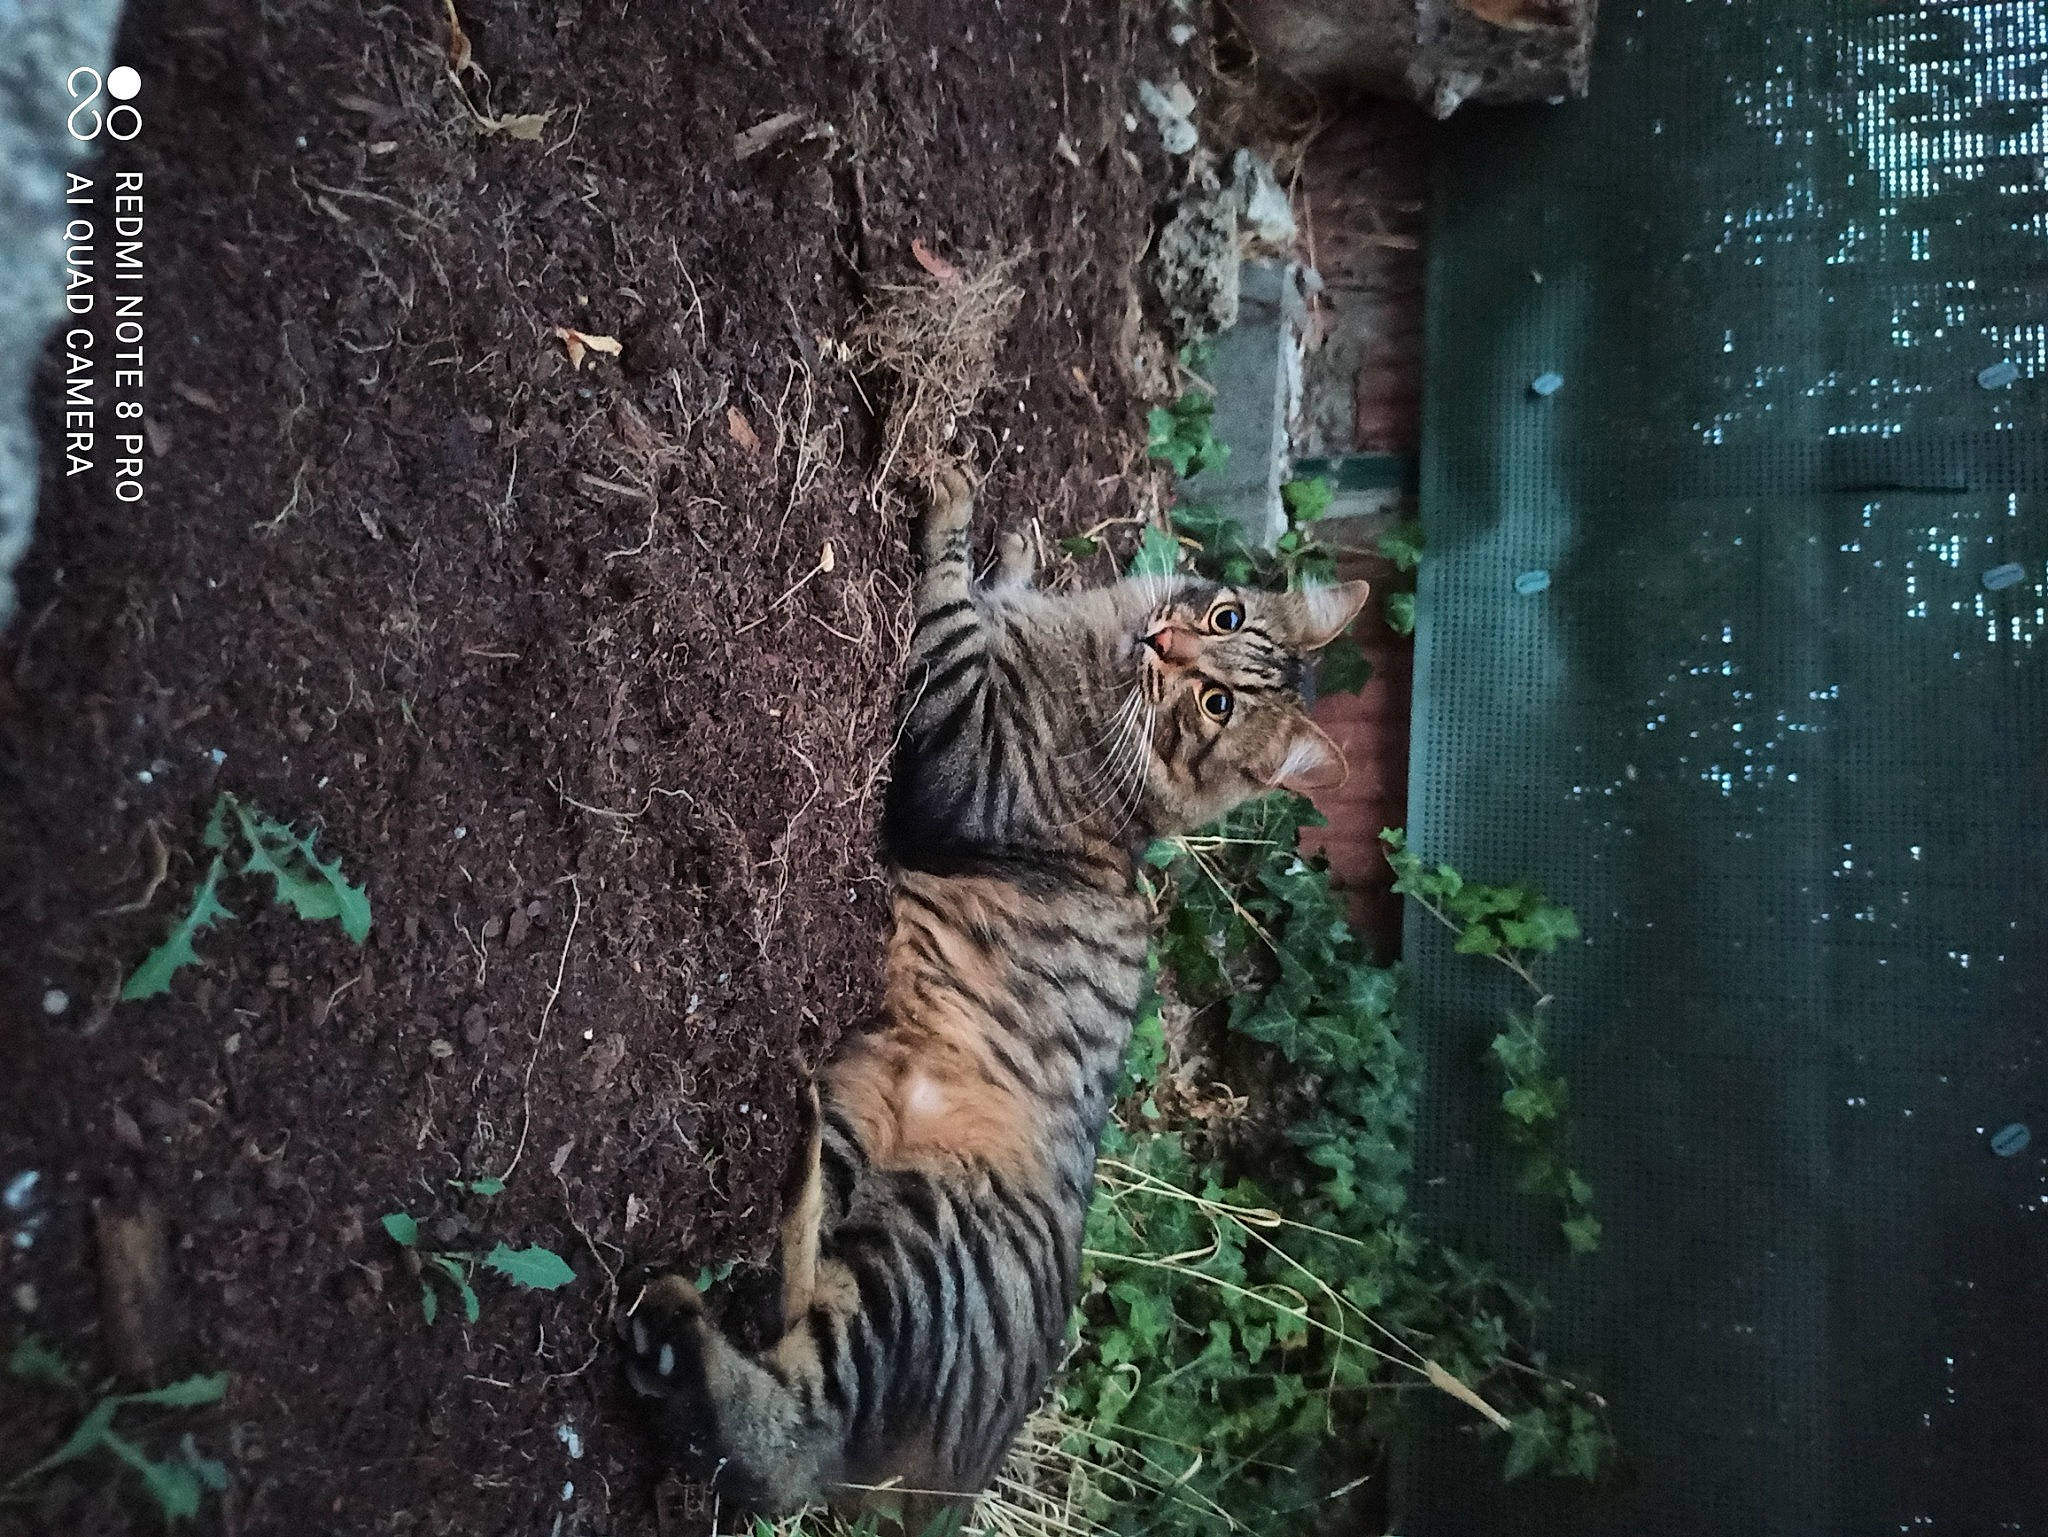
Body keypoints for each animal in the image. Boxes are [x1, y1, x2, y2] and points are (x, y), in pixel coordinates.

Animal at [620, 467, 1369, 1519]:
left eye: (1216, 700)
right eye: (1222, 616)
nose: (1167, 643)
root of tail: (960, 1488)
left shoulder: (963, 735)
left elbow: (947, 598)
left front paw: (953, 497)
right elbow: (990, 586)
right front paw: (1012, 549)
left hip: (911, 1263)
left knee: (788, 1437)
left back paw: (673, 1337)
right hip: (860, 1132)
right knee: (784, 1323)